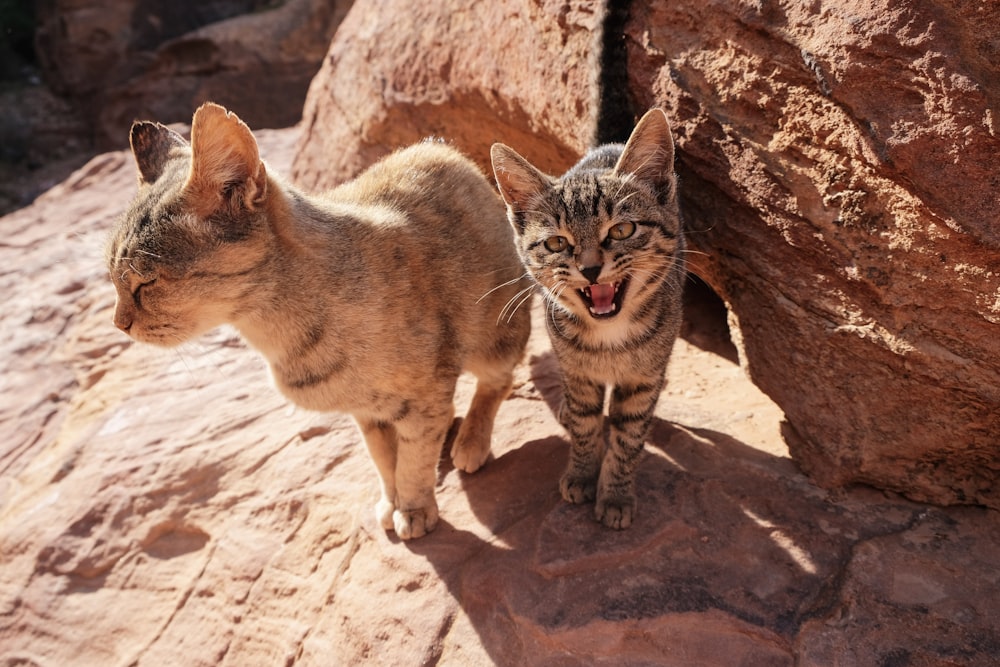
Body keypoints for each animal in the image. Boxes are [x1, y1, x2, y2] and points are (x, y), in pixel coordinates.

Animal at [107, 105, 532, 544]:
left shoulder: (424, 396)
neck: (278, 337)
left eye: (145, 283)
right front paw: (392, 503)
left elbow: (413, 459)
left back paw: (471, 442)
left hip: (495, 333)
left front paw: (414, 509)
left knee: (500, 379)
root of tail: (453, 155)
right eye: (111, 276)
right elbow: (385, 460)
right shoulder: (369, 412)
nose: (118, 323)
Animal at [490, 108, 684, 528]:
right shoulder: (577, 371)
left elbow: (629, 438)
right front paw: (581, 474)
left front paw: (616, 495)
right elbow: (584, 424)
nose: (591, 269)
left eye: (623, 229)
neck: (610, 336)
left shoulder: (642, 379)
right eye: (556, 243)